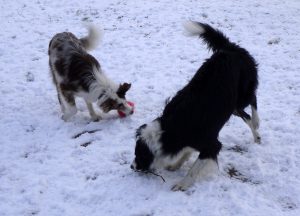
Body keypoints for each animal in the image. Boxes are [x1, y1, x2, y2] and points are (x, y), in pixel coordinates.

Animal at [131, 21, 260, 191]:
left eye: (139, 155)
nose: (132, 166)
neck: (170, 130)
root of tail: (230, 49)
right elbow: (187, 152)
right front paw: (176, 165)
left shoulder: (212, 145)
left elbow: (195, 168)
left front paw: (182, 184)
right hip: (233, 107)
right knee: (247, 115)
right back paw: (256, 134)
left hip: (242, 95)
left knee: (253, 100)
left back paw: (257, 124)